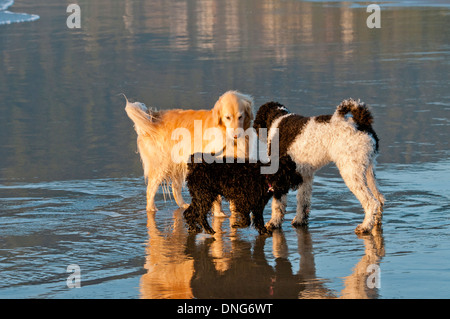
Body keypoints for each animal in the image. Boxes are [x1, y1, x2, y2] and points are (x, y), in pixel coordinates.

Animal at [255, 100, 384, 235]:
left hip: (351, 172)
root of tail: (362, 123)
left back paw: (365, 226)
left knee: (371, 202)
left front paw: (273, 223)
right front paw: (300, 220)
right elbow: (303, 201)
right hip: (368, 171)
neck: (278, 118)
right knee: (379, 199)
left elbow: (278, 204)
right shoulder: (305, 175)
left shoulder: (280, 177)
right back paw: (375, 223)